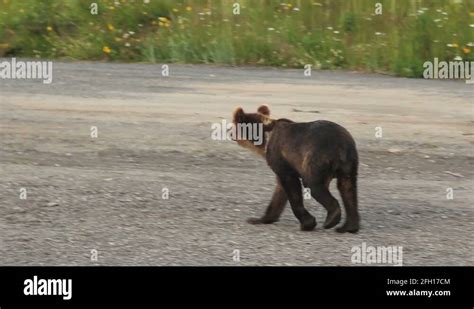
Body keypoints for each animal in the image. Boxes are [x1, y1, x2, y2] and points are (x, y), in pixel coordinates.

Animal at [232, 104, 360, 232]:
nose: (230, 132)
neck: (264, 140)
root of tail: (341, 146)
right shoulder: (281, 164)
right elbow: (279, 192)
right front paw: (259, 219)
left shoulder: (280, 157)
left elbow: (292, 187)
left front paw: (307, 223)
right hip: (349, 162)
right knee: (348, 188)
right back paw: (348, 226)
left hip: (317, 156)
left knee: (313, 184)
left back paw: (332, 219)